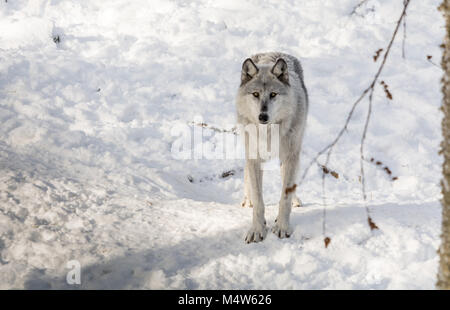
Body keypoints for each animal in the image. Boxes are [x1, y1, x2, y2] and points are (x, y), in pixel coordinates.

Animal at [234, 52, 308, 243]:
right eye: (255, 94)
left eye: (273, 94)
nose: (263, 116)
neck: (268, 132)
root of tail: (271, 53)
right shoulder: (254, 158)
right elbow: (259, 202)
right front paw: (257, 230)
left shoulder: (290, 157)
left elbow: (285, 198)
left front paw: (282, 227)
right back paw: (247, 200)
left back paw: (296, 200)